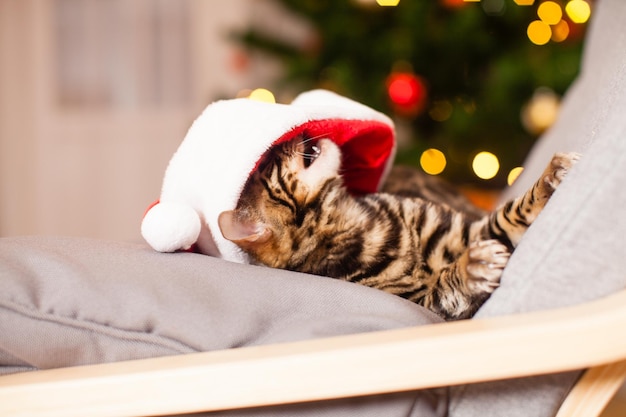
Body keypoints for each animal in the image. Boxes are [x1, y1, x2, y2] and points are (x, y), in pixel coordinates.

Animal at [218, 136, 576, 318]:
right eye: (265, 164)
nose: (297, 133)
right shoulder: (424, 304)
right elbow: (446, 286)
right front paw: (473, 267)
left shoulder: (467, 230)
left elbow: (509, 215)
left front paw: (550, 179)